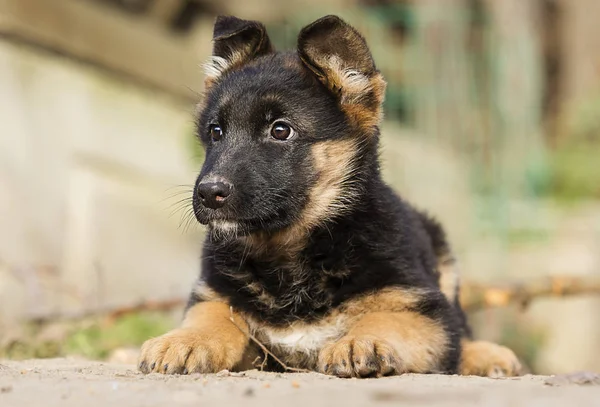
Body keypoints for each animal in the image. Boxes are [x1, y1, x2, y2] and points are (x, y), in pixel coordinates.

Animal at [139, 15, 520, 380]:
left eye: (281, 130)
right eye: (215, 132)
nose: (208, 192)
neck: (290, 254)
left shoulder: (421, 309)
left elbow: (387, 319)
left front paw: (360, 342)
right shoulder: (217, 298)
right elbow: (215, 316)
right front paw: (184, 340)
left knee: (463, 331)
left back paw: (488, 355)